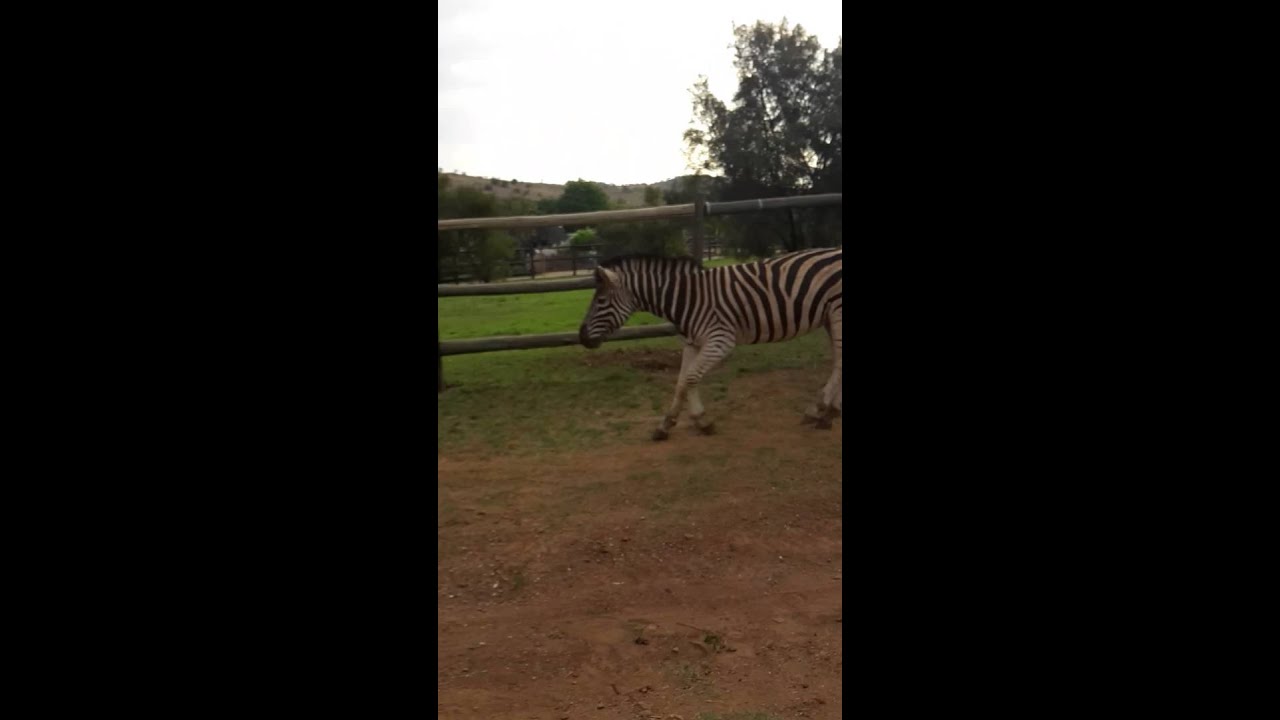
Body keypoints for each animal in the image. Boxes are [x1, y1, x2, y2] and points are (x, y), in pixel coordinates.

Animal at [578, 248, 842, 440]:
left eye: (601, 301)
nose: (582, 337)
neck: (688, 298)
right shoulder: (692, 343)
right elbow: (681, 383)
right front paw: (667, 424)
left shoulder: (720, 340)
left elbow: (691, 378)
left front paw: (701, 421)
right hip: (829, 317)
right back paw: (823, 410)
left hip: (837, 313)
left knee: (839, 361)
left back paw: (825, 411)